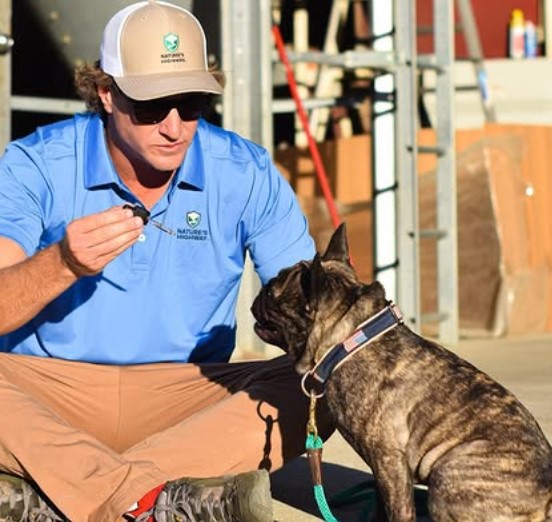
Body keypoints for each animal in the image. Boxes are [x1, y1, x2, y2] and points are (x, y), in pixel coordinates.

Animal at [251, 223, 552, 520]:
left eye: (272, 291)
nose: (259, 293)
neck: (347, 340)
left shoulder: (388, 459)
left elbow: (398, 508)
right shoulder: (381, 468)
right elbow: (379, 502)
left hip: (447, 477)